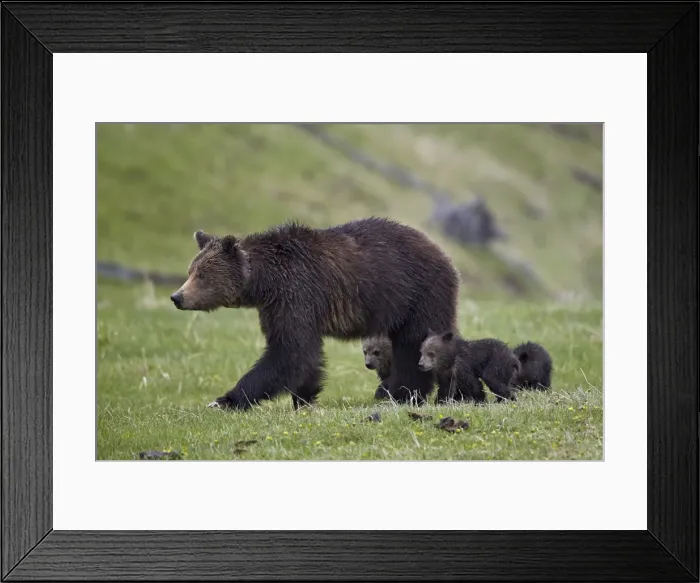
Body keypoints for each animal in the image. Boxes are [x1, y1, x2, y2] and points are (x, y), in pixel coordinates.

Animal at [170, 217, 460, 411]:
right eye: (190, 271)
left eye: (202, 275)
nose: (177, 297)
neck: (265, 282)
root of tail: (444, 254)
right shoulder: (276, 307)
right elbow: (303, 355)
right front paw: (304, 397)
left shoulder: (297, 293)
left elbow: (290, 352)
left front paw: (225, 399)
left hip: (417, 294)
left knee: (414, 345)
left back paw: (405, 393)